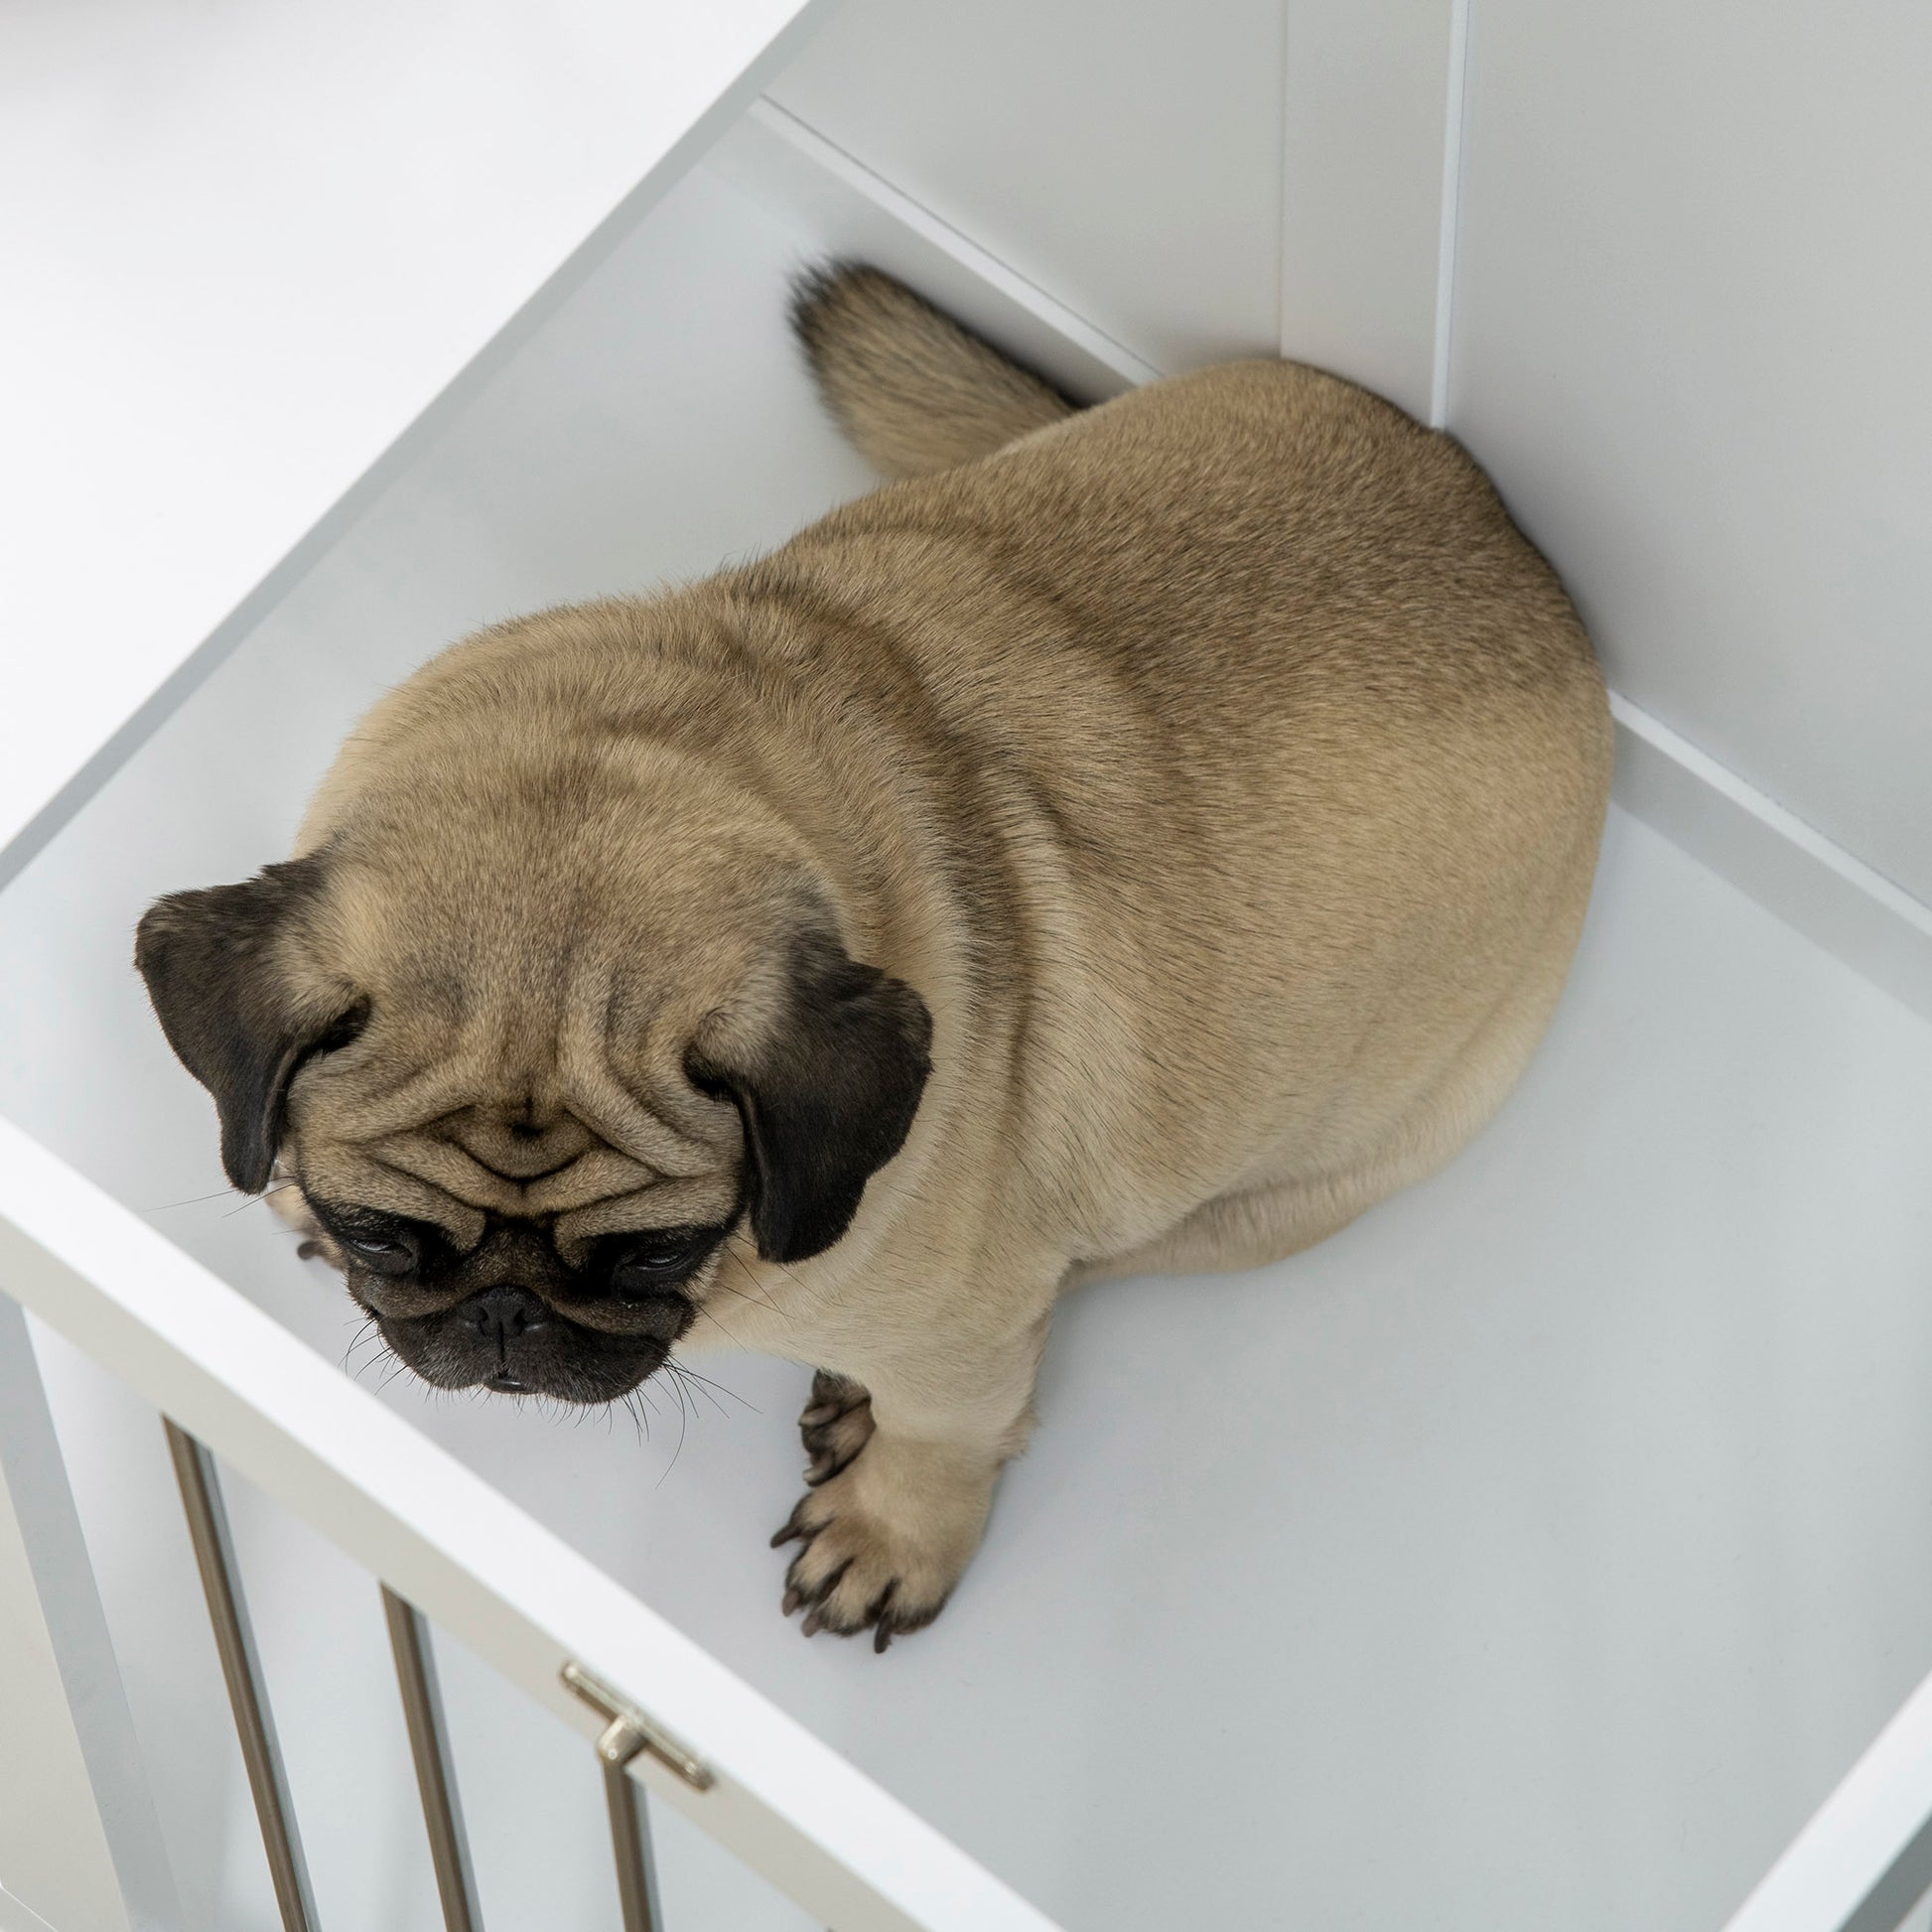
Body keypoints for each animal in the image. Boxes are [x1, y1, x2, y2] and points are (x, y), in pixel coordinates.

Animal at [140, 264, 1614, 1645]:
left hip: (1277, 1194)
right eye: (381, 1232)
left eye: (657, 1256)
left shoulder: (957, 1337)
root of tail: (1531, 570)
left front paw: (894, 1527)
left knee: (1088, 1274)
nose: (505, 1316)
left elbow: (947, 1431)